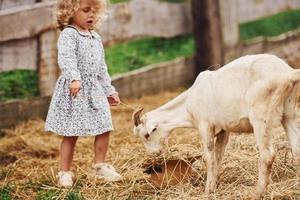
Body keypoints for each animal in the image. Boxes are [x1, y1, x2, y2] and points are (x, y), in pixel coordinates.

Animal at [133, 53, 300, 198]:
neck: (187, 104)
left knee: (267, 155)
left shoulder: (204, 124)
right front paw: (215, 184)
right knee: (296, 148)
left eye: (146, 135)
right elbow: (218, 155)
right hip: (289, 113)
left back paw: (256, 193)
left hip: (260, 117)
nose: (155, 153)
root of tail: (287, 73)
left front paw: (208, 190)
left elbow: (209, 157)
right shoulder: (223, 130)